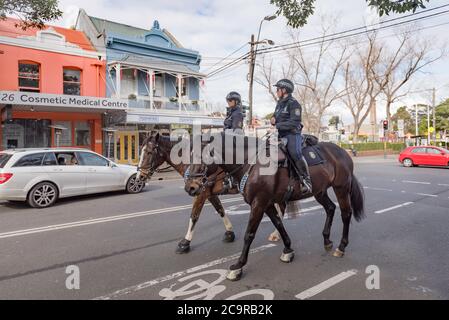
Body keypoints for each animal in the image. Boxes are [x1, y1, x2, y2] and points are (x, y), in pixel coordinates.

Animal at [184, 132, 362, 280]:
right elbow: (278, 223)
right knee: (330, 208)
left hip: (341, 188)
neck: (252, 164)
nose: (190, 187)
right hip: (319, 191)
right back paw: (327, 240)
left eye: (204, 156)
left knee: (346, 213)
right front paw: (288, 250)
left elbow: (249, 234)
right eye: (189, 156)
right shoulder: (267, 203)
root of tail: (342, 151)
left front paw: (238, 266)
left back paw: (341, 247)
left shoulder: (258, 203)